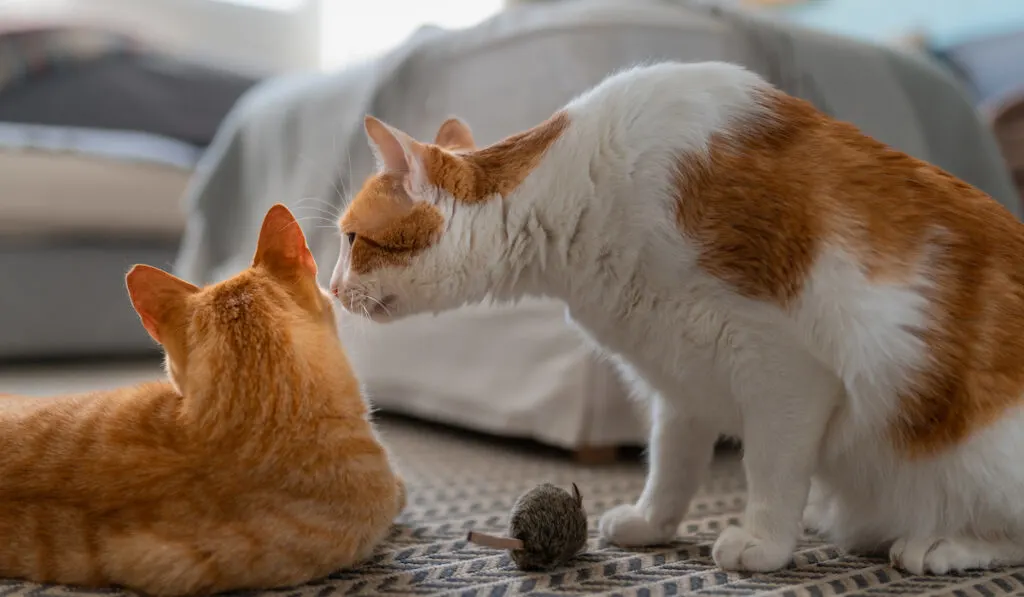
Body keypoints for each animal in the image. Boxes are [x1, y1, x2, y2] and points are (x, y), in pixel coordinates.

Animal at [329, 62, 1024, 577]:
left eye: (351, 240)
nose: (330, 289)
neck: (583, 188)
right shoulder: (679, 373)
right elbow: (671, 462)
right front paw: (651, 523)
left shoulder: (784, 369)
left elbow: (771, 468)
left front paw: (765, 542)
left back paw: (943, 544)